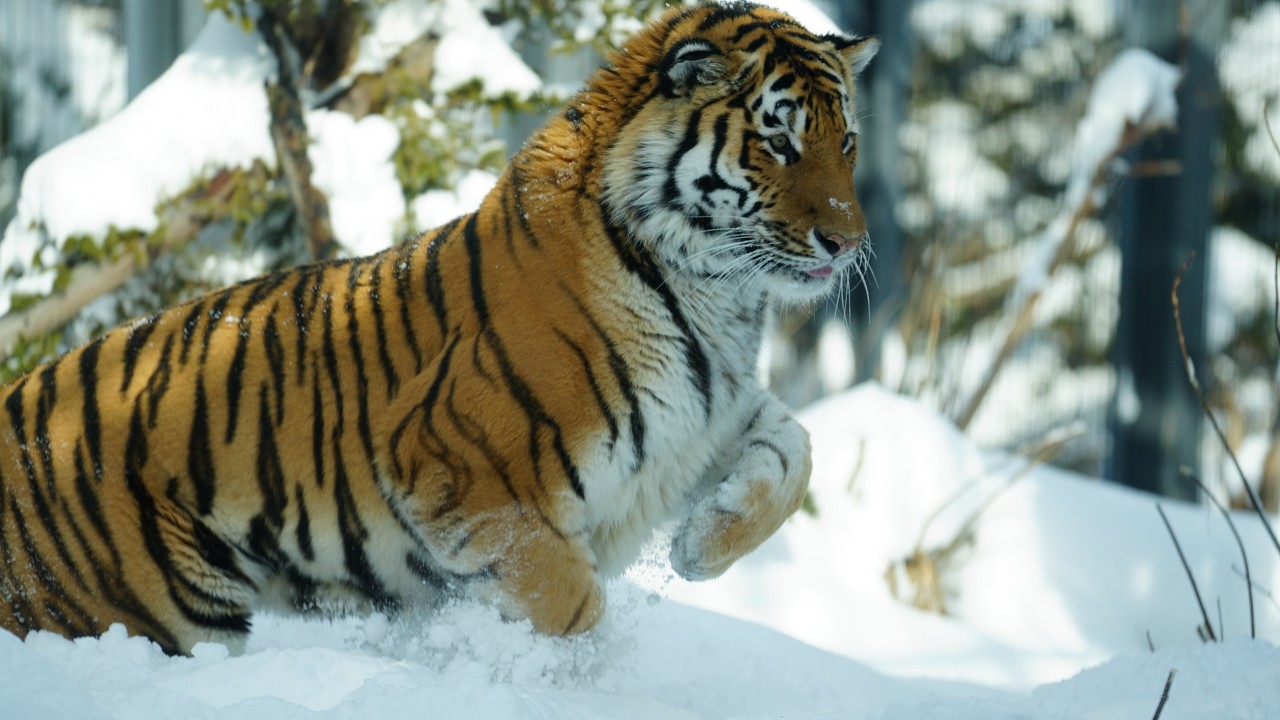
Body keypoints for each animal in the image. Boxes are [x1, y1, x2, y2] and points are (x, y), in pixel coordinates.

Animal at [0, 1, 878, 655]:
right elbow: (568, 606)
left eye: (845, 140)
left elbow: (794, 452)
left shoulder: (700, 414)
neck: (717, 295)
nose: (848, 242)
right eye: (778, 139)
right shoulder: (466, 474)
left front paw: (702, 544)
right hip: (133, 612)